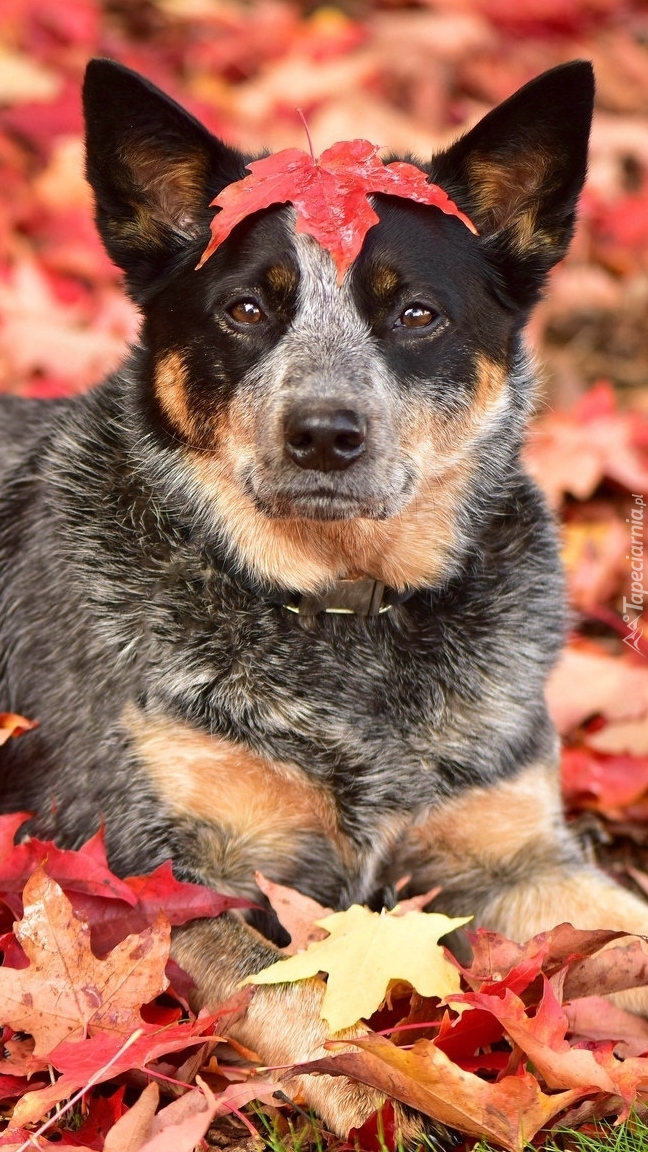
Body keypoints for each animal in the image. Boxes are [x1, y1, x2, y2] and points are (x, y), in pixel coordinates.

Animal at [2, 54, 641, 1142]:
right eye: (246, 310)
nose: (324, 433)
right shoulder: (147, 880)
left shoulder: (523, 856)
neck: (347, 609)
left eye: (416, 313)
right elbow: (296, 993)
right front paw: (393, 1102)